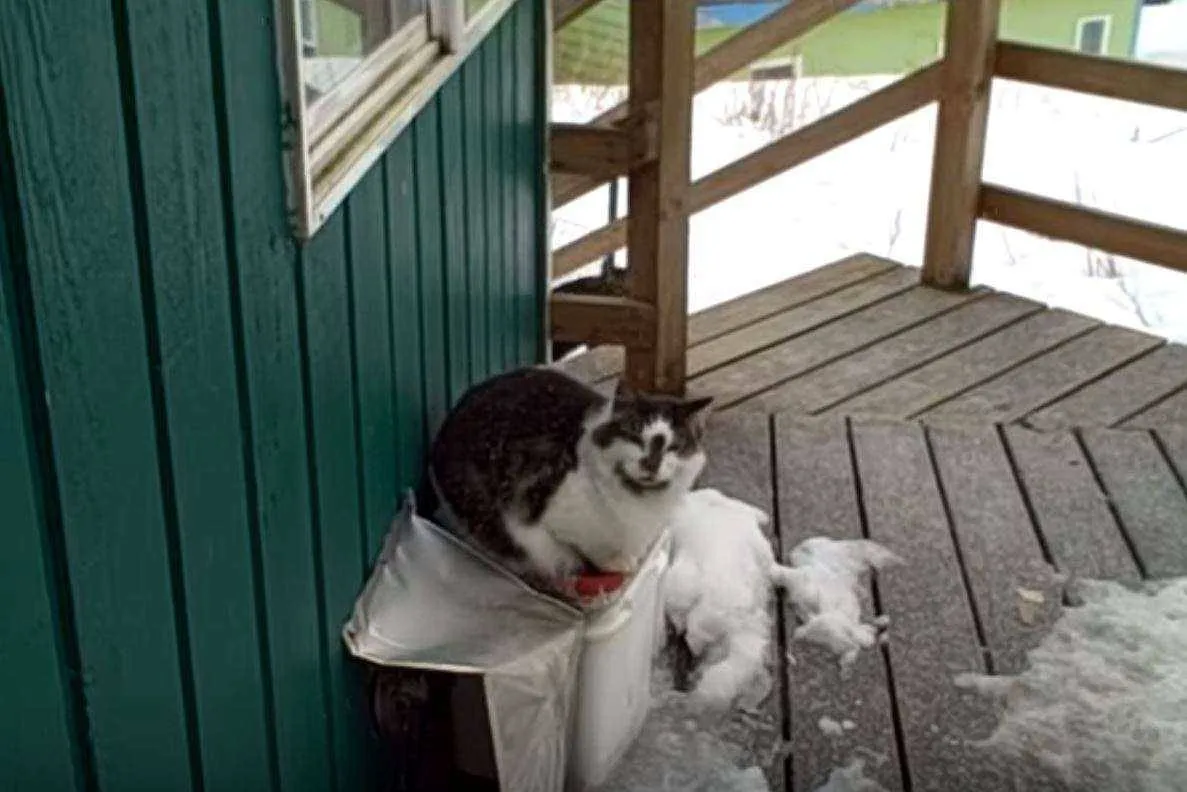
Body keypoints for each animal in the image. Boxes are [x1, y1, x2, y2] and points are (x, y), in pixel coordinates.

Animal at [427, 368, 707, 593]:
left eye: (674, 447)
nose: (651, 464)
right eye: (634, 437)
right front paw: (616, 563)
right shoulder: (547, 518)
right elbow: (586, 549)